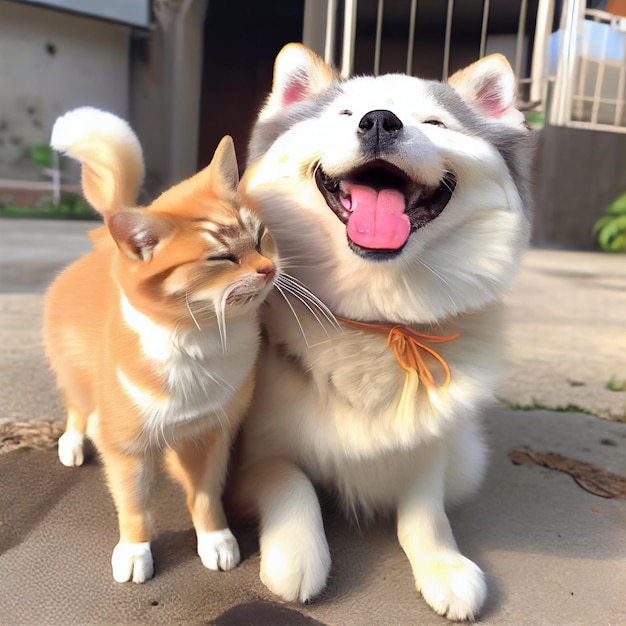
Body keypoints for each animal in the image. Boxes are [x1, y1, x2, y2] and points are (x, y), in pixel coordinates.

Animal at [44, 106, 276, 580]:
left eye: (261, 236)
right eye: (221, 257)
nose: (267, 268)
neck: (201, 339)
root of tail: (104, 241)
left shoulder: (211, 434)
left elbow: (206, 497)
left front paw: (215, 540)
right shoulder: (129, 449)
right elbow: (134, 505)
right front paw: (135, 552)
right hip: (74, 374)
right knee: (77, 406)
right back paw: (74, 442)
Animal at [230, 45, 532, 620]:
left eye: (434, 122)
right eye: (345, 114)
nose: (379, 122)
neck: (376, 315)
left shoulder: (431, 444)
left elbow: (426, 511)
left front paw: (444, 566)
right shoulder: (253, 453)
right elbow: (291, 480)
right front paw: (297, 555)